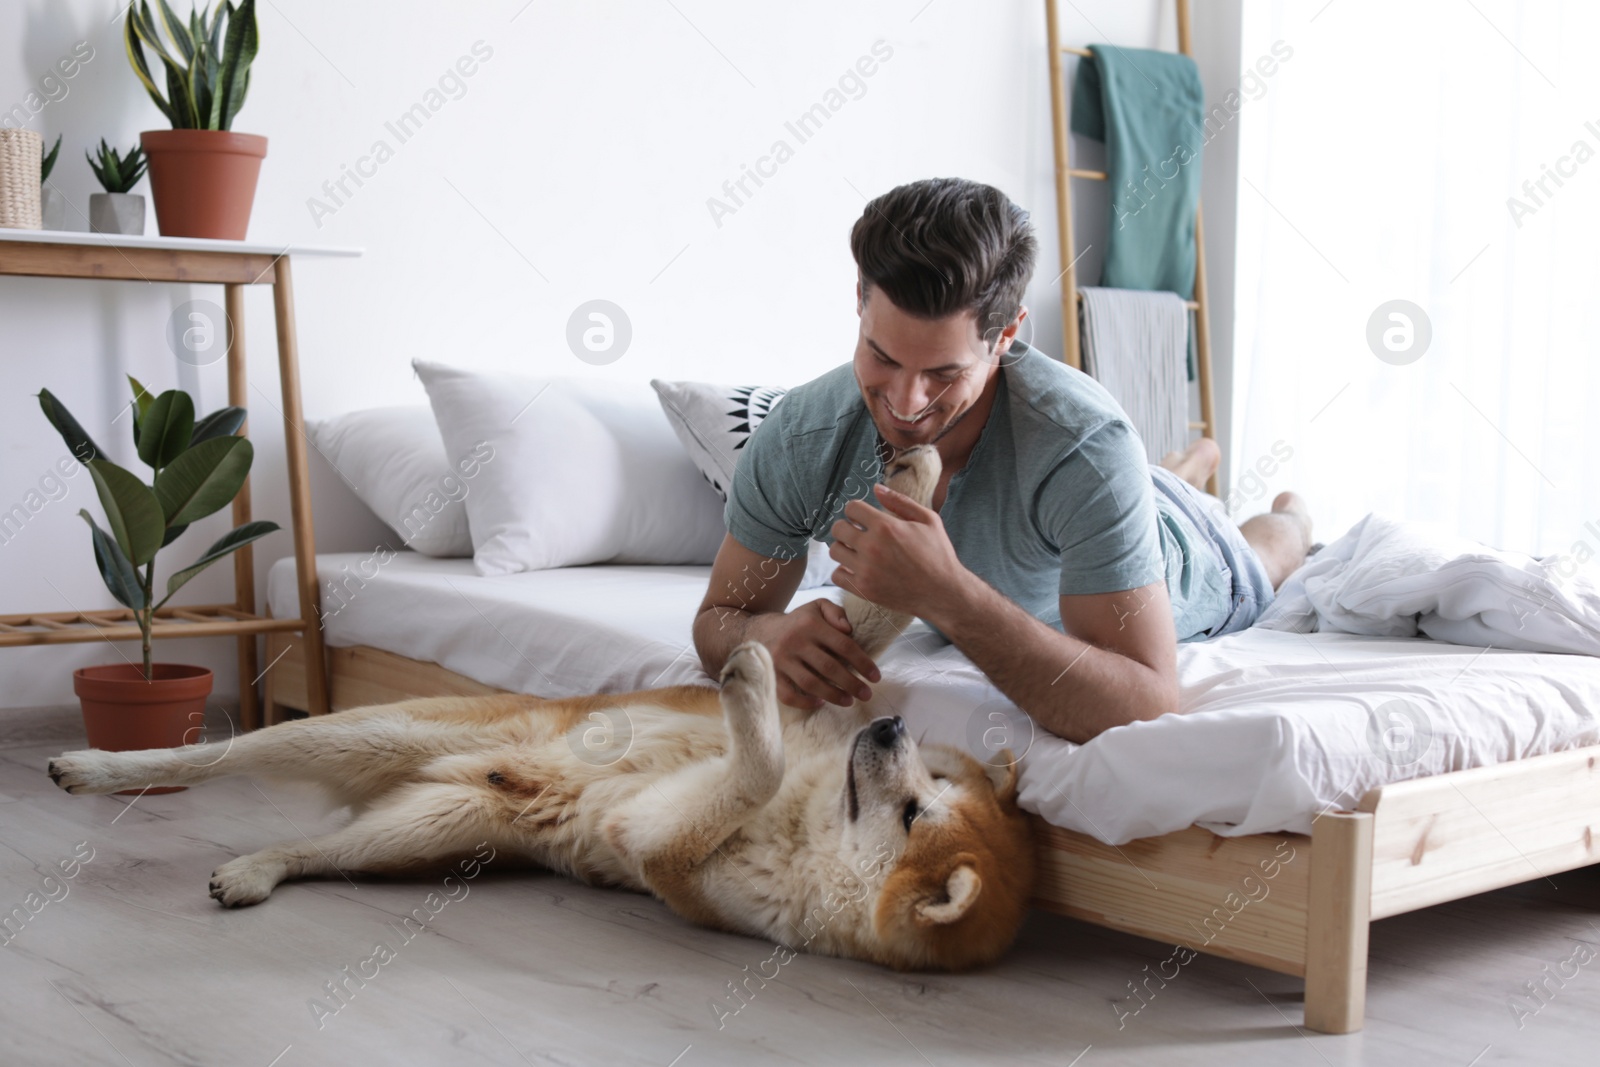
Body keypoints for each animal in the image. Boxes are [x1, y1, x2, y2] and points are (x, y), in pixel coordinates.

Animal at [46, 447, 1036, 972]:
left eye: (917, 810)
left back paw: (254, 868)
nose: (892, 727)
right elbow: (866, 615)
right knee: (206, 756)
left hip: (417, 831)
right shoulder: (821, 689)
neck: (809, 819)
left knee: (312, 848)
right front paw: (917, 474)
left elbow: (748, 771)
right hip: (362, 732)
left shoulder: (661, 848)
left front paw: (747, 691)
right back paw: (96, 765)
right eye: (927, 783)